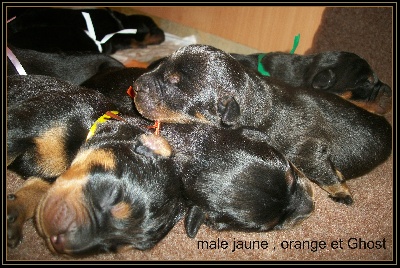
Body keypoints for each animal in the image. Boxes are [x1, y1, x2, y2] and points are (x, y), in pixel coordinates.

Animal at [6, 74, 184, 254]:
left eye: (110, 248)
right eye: (114, 195)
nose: (58, 244)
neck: (91, 123)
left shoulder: (50, 178)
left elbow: (36, 190)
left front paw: (14, 213)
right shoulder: (21, 124)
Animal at [7, 6, 166, 53]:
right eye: (153, 28)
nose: (164, 34)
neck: (120, 23)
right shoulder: (112, 42)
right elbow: (127, 42)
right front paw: (140, 44)